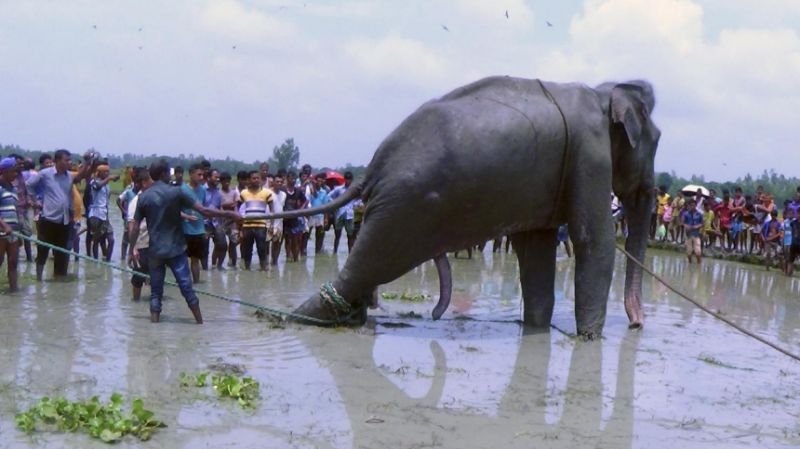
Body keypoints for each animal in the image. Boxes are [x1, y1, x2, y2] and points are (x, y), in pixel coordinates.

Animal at [266, 75, 660, 338]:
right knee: (370, 264)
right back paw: (296, 320)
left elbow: (535, 247)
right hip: (407, 207)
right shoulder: (589, 157)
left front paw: (536, 330)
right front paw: (590, 340)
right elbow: (594, 240)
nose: (637, 325)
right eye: (656, 141)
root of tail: (373, 169)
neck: (603, 92)